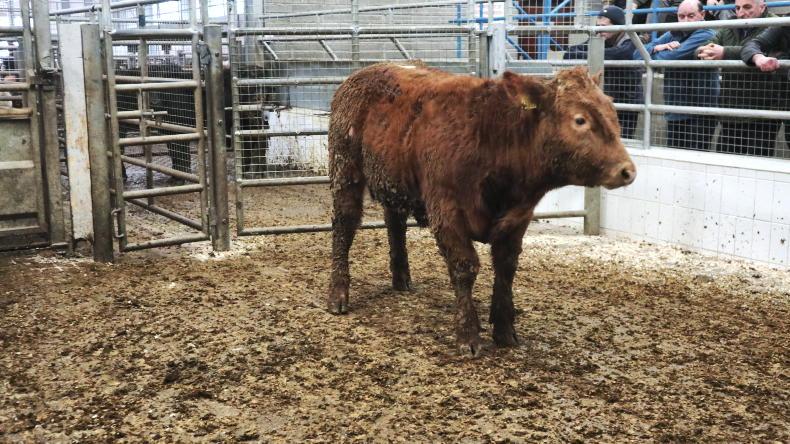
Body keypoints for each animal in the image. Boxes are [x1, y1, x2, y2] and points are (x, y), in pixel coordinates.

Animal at [327, 62, 636, 356]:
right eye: (580, 119)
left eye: (613, 111)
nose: (627, 171)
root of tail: (361, 74)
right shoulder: (446, 212)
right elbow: (465, 267)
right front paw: (469, 336)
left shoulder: (518, 217)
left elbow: (506, 267)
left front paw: (505, 330)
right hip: (345, 170)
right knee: (344, 225)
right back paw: (338, 295)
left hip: (394, 181)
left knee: (394, 222)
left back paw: (401, 278)